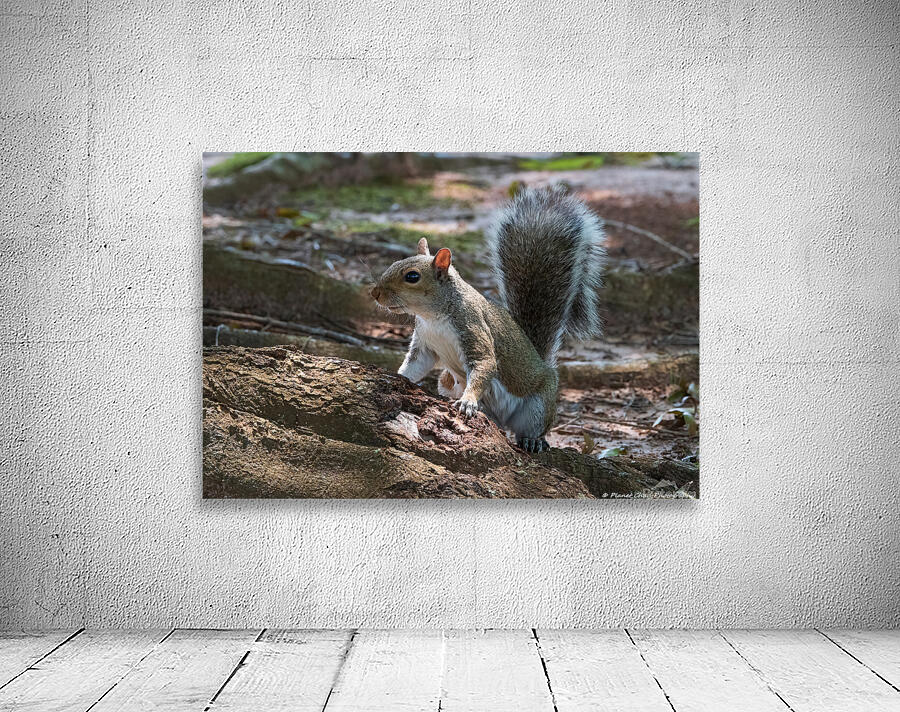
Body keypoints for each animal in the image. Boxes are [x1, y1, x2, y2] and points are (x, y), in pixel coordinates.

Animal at [370, 186, 605, 452]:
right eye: (394, 263)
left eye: (412, 276)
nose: (375, 293)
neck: (433, 317)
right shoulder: (424, 344)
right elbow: (414, 365)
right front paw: (396, 375)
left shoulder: (473, 330)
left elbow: (484, 364)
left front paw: (469, 401)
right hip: (447, 382)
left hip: (539, 404)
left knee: (531, 426)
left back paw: (533, 440)